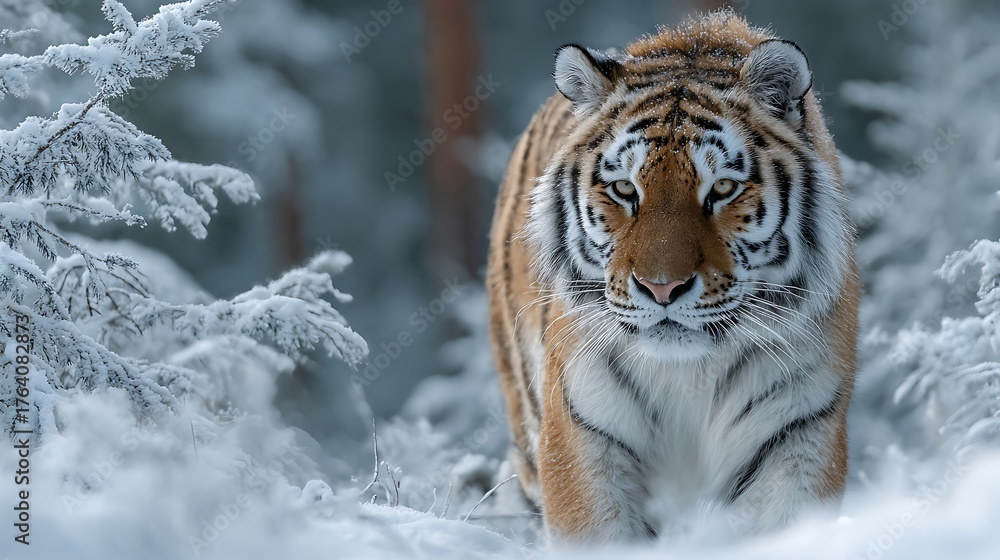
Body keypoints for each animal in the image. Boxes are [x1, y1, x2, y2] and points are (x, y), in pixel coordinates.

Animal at [485, 11, 858, 542]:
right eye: (625, 189)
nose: (662, 288)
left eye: (722, 189)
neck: (689, 375)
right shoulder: (581, 430)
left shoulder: (797, 426)